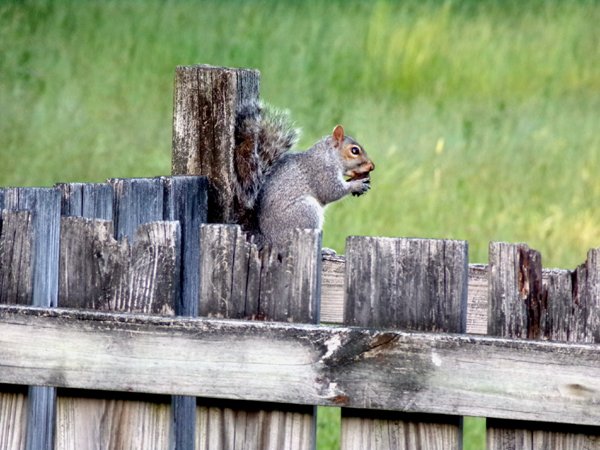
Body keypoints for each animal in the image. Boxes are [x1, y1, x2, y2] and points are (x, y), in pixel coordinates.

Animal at [232, 100, 372, 250]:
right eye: (354, 150)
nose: (372, 166)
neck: (328, 156)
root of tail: (268, 240)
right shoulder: (321, 172)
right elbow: (331, 191)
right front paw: (356, 185)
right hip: (306, 212)